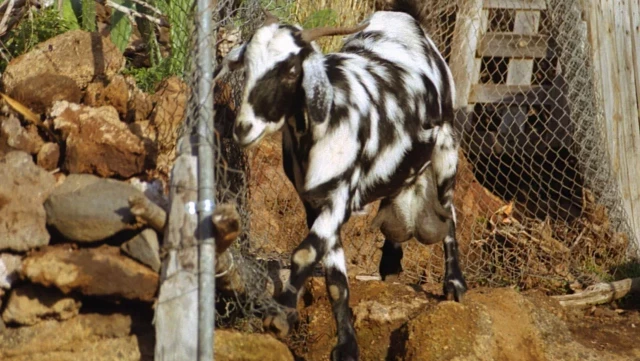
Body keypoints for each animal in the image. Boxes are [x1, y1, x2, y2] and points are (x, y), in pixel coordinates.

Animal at [215, 9, 464, 360]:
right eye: (247, 66)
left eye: (292, 70)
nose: (244, 128)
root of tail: (398, 16)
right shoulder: (315, 202)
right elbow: (335, 279)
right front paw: (346, 345)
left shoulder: (341, 197)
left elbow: (305, 253)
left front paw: (281, 316)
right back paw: (391, 264)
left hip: (446, 148)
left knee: (449, 211)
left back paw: (454, 284)